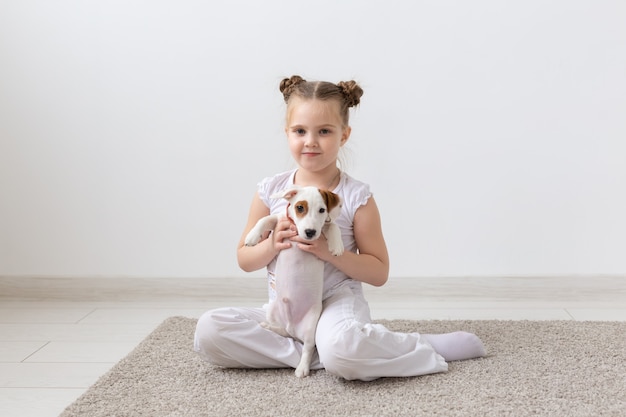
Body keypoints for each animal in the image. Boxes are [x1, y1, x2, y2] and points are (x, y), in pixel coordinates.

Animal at [243, 185, 342, 376]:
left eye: (322, 210)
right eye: (300, 208)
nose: (310, 232)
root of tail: (294, 328)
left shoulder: (323, 227)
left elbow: (333, 225)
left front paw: (337, 246)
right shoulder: (279, 220)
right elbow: (265, 219)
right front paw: (252, 237)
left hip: (311, 326)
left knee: (308, 348)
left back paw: (302, 368)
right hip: (272, 310)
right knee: (283, 332)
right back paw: (269, 327)